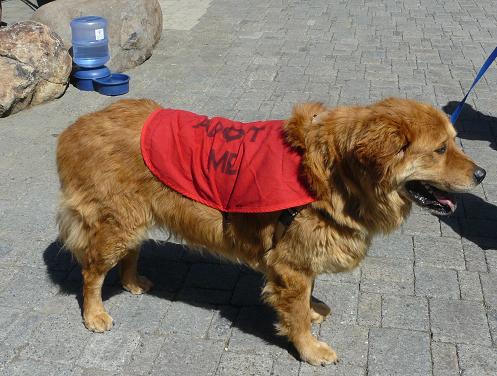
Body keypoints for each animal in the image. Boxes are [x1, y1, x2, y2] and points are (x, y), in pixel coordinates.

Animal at [55, 97, 484, 364]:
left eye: (454, 142)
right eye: (440, 149)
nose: (482, 174)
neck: (336, 175)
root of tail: (76, 127)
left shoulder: (300, 258)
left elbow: (306, 299)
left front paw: (312, 311)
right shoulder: (289, 264)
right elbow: (295, 315)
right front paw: (309, 349)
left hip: (132, 220)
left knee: (131, 251)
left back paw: (131, 281)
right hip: (116, 224)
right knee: (91, 271)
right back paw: (94, 313)